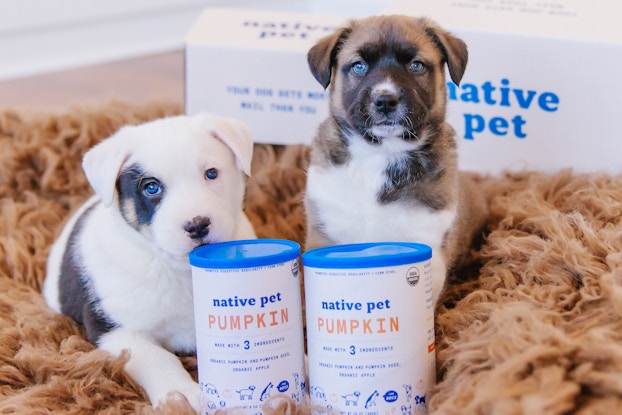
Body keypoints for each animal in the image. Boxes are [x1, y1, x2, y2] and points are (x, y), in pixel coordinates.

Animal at [44, 112, 258, 412]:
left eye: (211, 173)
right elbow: (156, 357)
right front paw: (181, 396)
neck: (179, 267)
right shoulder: (114, 330)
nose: (197, 225)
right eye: (151, 187)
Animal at [304, 15, 490, 306]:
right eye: (358, 66)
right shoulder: (325, 232)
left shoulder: (428, 240)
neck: (381, 153)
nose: (385, 100)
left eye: (416, 66)